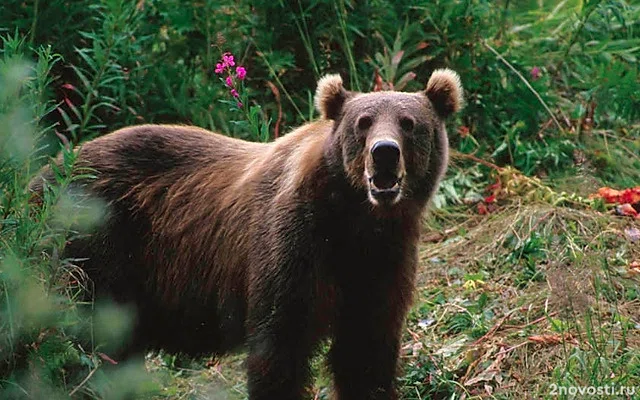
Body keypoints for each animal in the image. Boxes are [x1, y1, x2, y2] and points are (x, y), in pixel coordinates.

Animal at [30, 67, 462, 398]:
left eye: (409, 123)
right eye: (364, 122)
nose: (384, 152)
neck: (354, 219)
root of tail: (42, 175)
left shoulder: (382, 261)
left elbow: (366, 350)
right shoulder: (292, 244)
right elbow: (279, 348)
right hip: (94, 247)